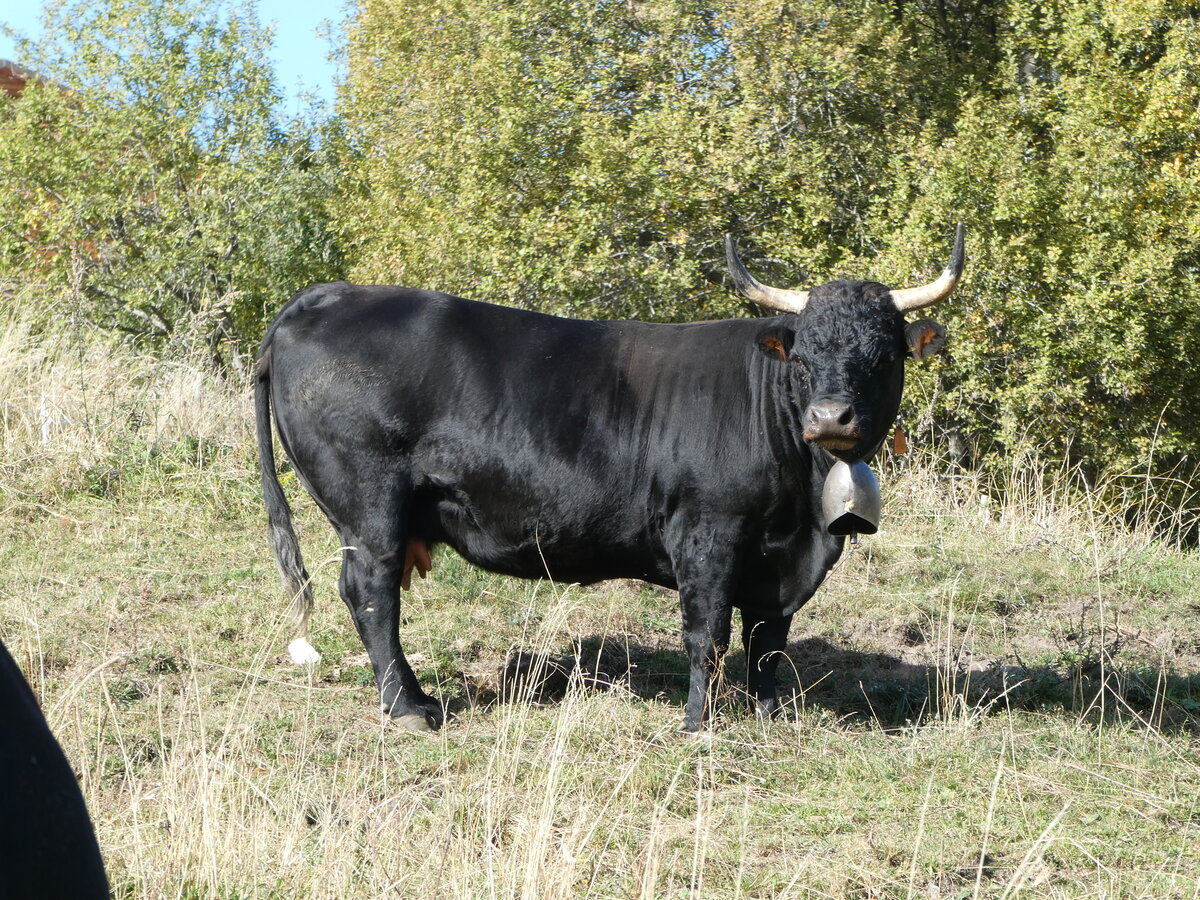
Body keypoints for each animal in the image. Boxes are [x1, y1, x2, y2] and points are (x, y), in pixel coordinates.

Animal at [255, 224, 964, 732]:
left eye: (882, 355)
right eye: (805, 357)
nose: (830, 416)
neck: (805, 513)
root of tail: (328, 294)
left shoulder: (777, 562)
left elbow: (768, 639)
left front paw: (769, 714)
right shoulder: (708, 532)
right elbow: (708, 631)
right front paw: (701, 723)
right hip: (370, 508)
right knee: (371, 594)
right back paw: (410, 707)